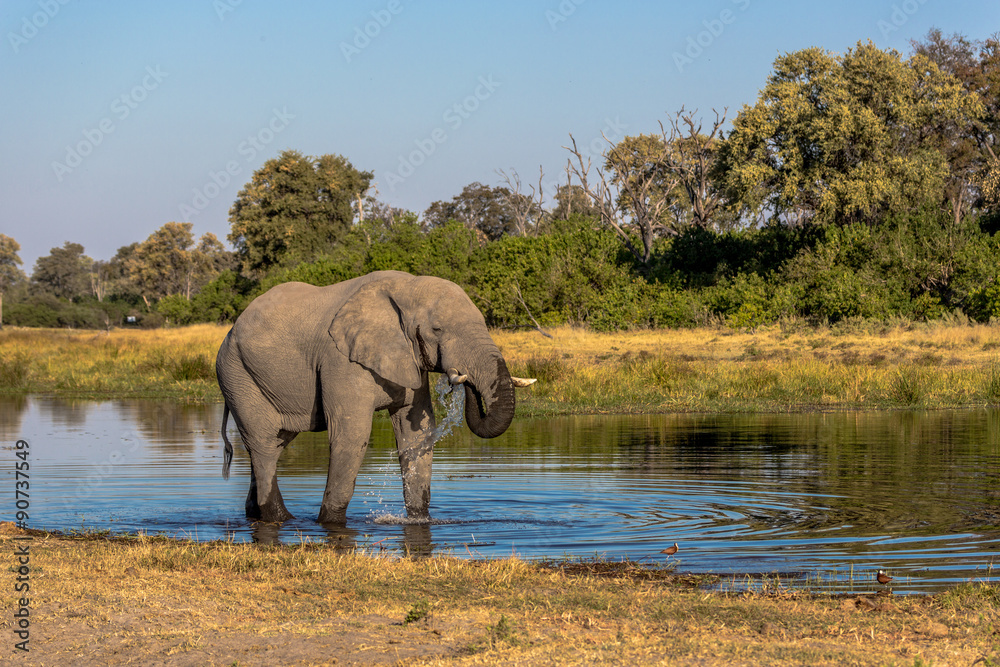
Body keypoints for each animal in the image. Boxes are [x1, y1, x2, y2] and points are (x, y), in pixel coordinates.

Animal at [215, 270, 535, 524]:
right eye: (437, 329)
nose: (462, 378)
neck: (406, 287)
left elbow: (416, 434)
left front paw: (419, 520)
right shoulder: (340, 360)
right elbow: (351, 435)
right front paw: (329, 523)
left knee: (276, 443)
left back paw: (257, 515)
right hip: (237, 375)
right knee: (264, 446)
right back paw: (280, 519)